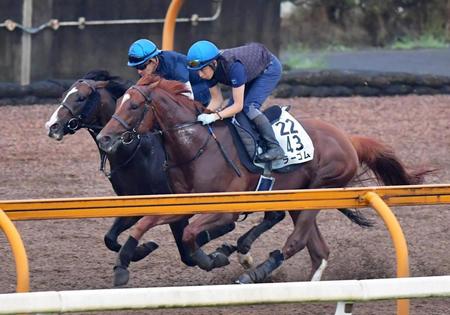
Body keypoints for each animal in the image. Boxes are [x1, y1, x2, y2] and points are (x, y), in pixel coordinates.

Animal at [44, 70, 232, 268]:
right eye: (64, 94)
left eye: (81, 97)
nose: (51, 126)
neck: (136, 153)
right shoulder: (135, 203)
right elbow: (110, 238)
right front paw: (143, 249)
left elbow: (187, 253)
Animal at [96, 74, 428, 286]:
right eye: (119, 102)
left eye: (134, 106)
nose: (104, 138)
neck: (196, 146)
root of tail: (349, 139)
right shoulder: (181, 203)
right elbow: (144, 223)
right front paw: (123, 264)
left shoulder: (224, 210)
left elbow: (190, 234)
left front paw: (213, 258)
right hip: (297, 196)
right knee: (317, 249)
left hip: (320, 188)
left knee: (297, 241)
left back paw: (252, 273)